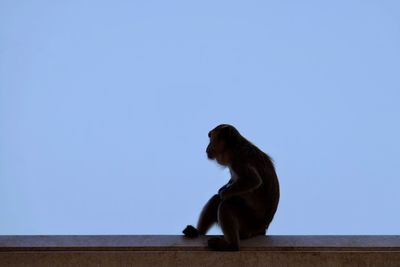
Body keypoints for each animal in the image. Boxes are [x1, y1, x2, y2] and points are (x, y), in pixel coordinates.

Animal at [183, 124, 280, 252]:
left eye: (210, 139)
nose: (207, 147)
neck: (234, 147)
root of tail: (262, 229)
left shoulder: (238, 160)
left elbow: (253, 180)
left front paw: (223, 193)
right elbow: (232, 182)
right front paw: (222, 190)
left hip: (249, 223)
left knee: (226, 205)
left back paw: (232, 245)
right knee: (216, 201)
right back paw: (197, 232)